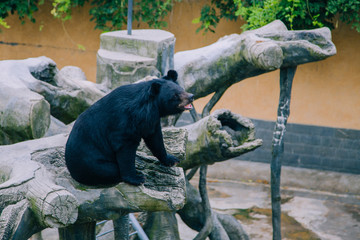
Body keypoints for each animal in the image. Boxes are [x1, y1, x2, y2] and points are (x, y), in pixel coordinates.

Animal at [64, 70, 194, 187]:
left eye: (182, 89)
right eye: (175, 95)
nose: (191, 96)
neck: (149, 106)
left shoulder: (151, 119)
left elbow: (155, 139)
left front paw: (172, 159)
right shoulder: (125, 121)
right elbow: (125, 147)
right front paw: (137, 179)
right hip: (92, 163)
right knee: (110, 170)